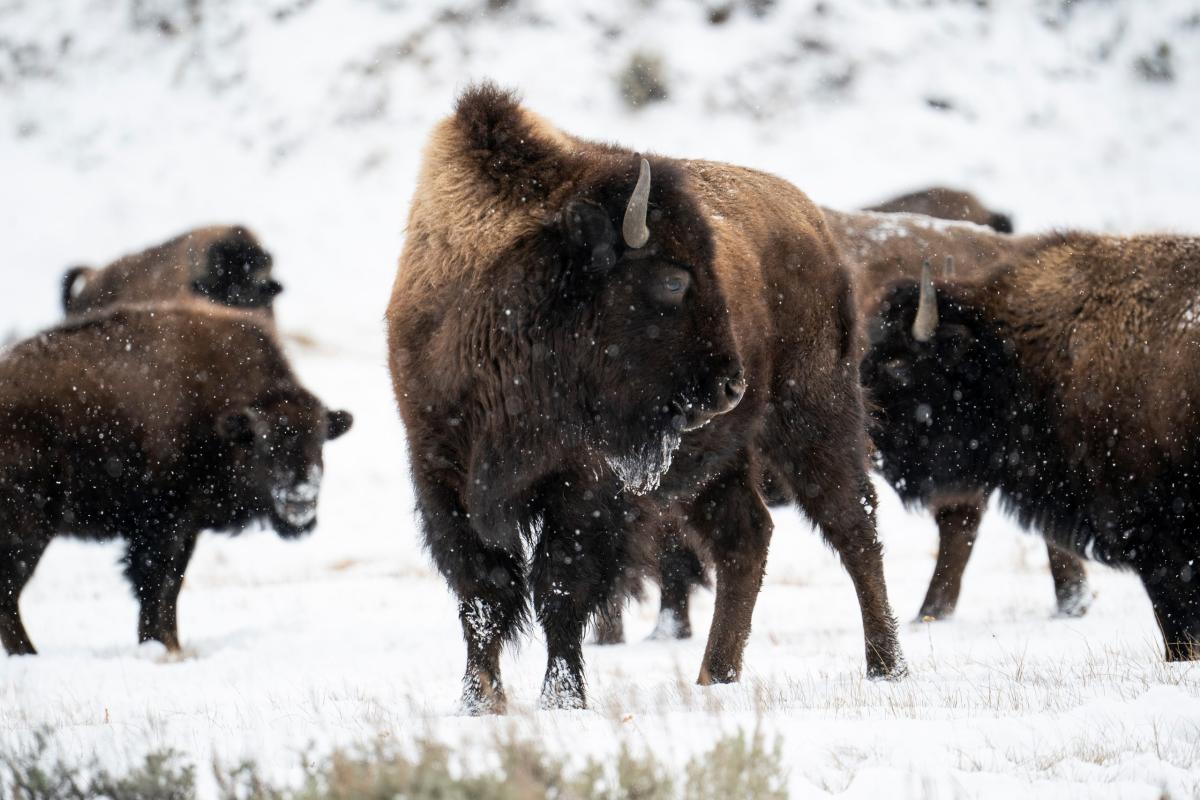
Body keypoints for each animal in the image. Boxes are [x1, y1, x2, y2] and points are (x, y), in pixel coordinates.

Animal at [0, 303, 352, 652]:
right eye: (265, 442)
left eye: (320, 440)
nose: (301, 498)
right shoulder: (163, 525)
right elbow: (156, 584)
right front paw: (162, 647)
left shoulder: (186, 529)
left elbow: (172, 586)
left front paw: (170, 645)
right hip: (30, 528)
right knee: (10, 591)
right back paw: (30, 653)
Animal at [388, 86, 902, 714]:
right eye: (673, 280)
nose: (730, 387)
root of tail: (814, 223)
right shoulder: (442, 477)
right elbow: (481, 595)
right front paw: (478, 702)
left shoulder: (584, 487)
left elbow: (561, 590)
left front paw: (562, 700)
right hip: (720, 461)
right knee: (746, 537)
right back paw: (716, 675)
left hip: (812, 416)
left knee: (855, 527)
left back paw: (886, 667)